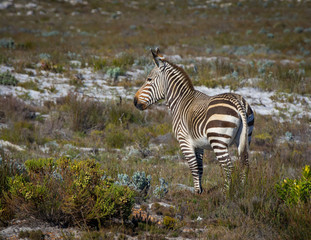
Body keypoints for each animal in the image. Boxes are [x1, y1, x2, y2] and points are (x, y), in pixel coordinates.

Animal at [134, 48, 256, 193]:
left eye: (149, 79)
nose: (135, 101)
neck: (180, 101)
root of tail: (238, 102)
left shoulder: (184, 141)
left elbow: (193, 167)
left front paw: (197, 192)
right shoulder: (199, 145)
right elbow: (200, 167)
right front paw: (201, 190)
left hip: (218, 140)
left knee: (228, 166)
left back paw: (226, 192)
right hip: (245, 137)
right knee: (245, 163)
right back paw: (242, 190)